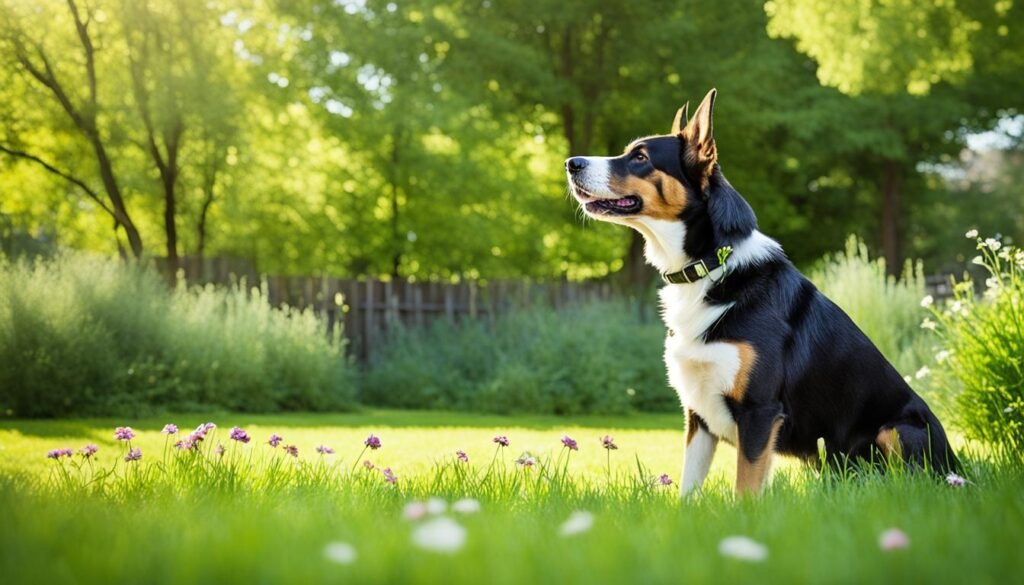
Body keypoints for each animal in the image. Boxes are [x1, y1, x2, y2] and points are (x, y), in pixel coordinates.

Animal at [565, 89, 954, 495]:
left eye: (640, 157)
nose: (571, 163)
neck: (709, 266)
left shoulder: (759, 411)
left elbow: (746, 489)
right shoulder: (698, 415)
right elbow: (689, 487)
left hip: (899, 430)